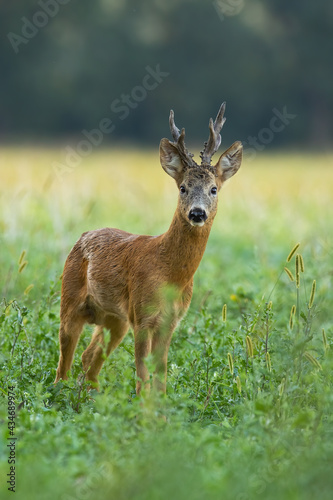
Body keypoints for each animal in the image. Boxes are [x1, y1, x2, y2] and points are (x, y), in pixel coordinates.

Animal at [53, 102, 241, 394]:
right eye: (183, 188)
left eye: (213, 189)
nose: (197, 213)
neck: (170, 275)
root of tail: (82, 236)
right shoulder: (142, 316)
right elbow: (142, 375)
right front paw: (144, 406)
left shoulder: (170, 321)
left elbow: (160, 375)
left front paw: (162, 406)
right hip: (70, 299)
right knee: (63, 363)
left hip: (114, 319)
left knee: (89, 357)